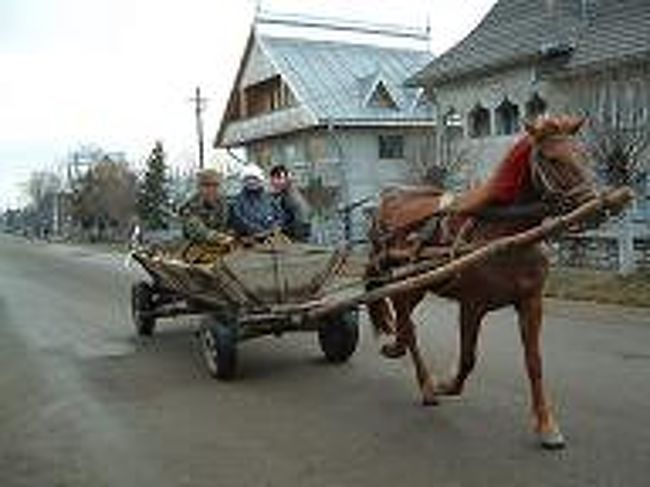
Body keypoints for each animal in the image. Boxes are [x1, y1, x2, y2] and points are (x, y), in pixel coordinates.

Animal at [364, 114, 596, 450]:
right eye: (552, 159)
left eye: (584, 154)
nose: (593, 206)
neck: (506, 237)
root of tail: (388, 202)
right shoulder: (472, 306)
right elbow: (467, 359)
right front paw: (445, 384)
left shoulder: (530, 302)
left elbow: (534, 363)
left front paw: (546, 425)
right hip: (407, 283)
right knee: (407, 324)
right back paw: (426, 384)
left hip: (418, 284)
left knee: (406, 322)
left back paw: (399, 349)